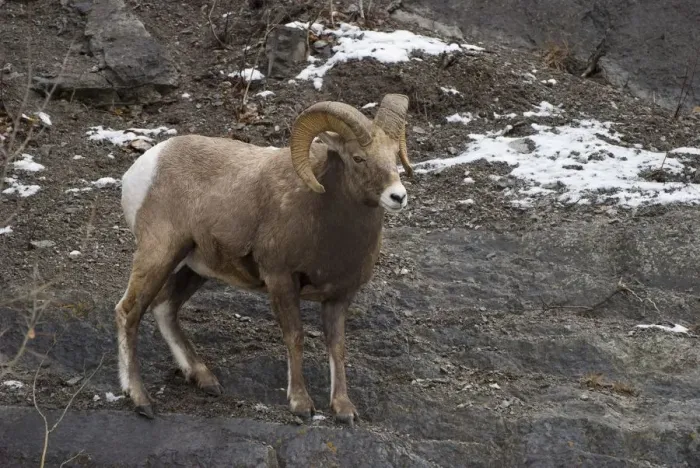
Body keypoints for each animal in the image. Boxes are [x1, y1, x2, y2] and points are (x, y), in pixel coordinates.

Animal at [115, 93, 413, 424]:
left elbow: (337, 346)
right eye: (358, 158)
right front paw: (300, 404)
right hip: (159, 255)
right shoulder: (281, 280)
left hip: (194, 268)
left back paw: (204, 379)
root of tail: (141, 169)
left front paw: (343, 409)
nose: (398, 196)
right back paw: (141, 400)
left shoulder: (340, 296)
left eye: (394, 156)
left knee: (165, 307)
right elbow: (295, 337)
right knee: (128, 312)